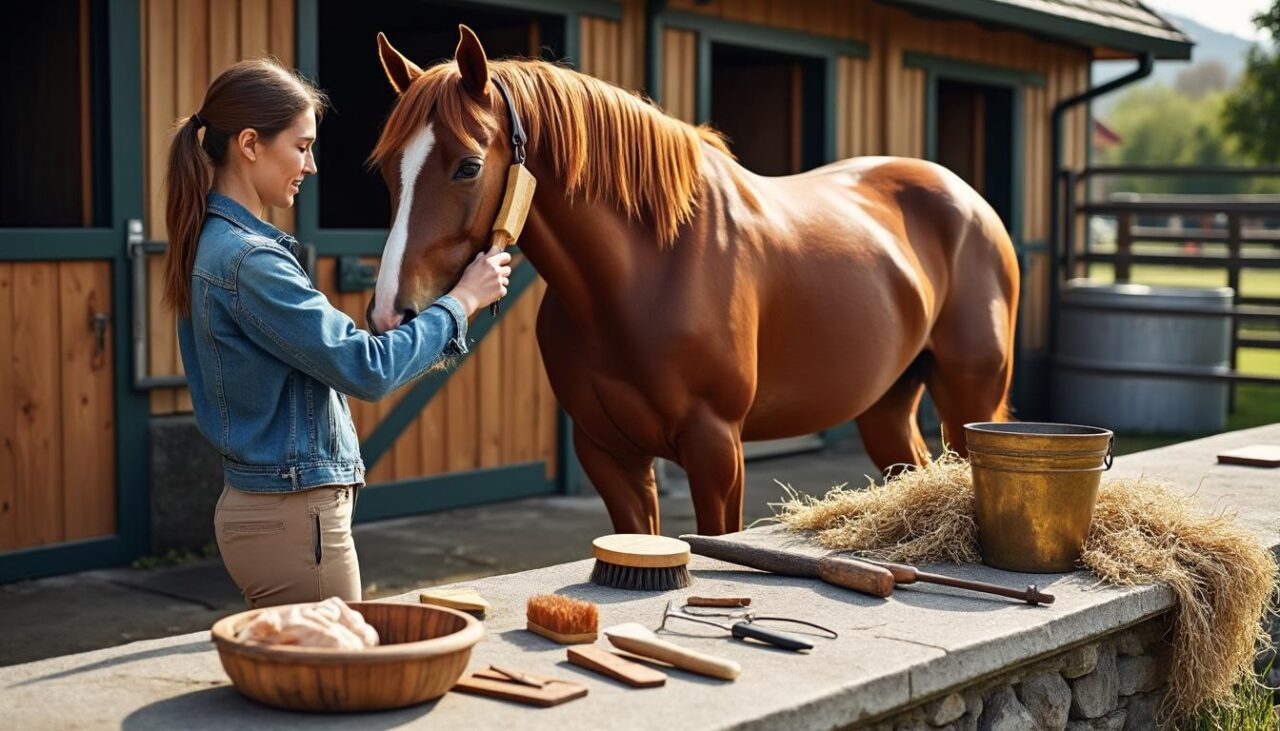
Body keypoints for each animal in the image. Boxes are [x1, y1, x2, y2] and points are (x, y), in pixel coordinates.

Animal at [365, 27, 1019, 536]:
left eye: (468, 165)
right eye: (388, 168)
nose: (391, 315)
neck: (647, 271)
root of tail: (969, 201)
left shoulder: (716, 450)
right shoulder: (608, 453)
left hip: (970, 397)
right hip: (886, 404)